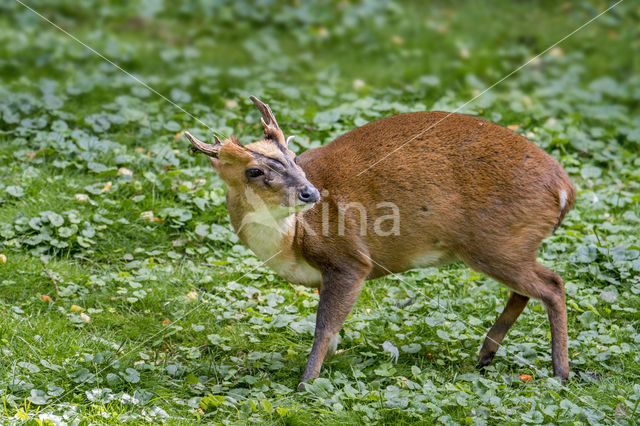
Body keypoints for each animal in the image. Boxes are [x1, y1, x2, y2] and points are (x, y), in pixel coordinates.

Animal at [184, 97, 576, 390]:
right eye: (255, 171)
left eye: (294, 159)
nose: (310, 192)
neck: (293, 240)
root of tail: (565, 190)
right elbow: (332, 328)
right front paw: (328, 362)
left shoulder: (349, 259)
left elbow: (324, 324)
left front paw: (306, 382)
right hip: (506, 246)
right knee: (528, 289)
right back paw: (485, 357)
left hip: (497, 241)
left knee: (553, 284)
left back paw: (560, 373)